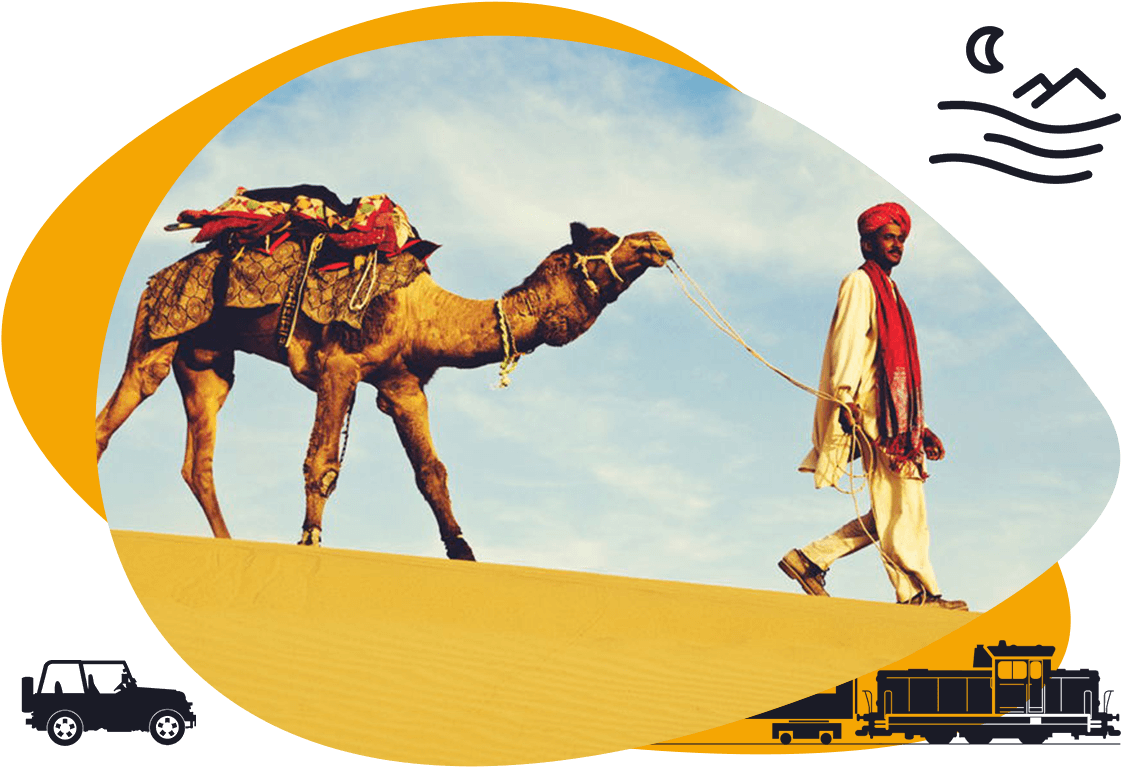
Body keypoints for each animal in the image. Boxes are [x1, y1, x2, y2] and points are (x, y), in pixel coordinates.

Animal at [95, 222, 673, 560]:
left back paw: (228, 544)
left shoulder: (402, 386)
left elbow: (432, 473)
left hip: (208, 363)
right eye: (602, 240)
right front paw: (309, 542)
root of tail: (155, 277)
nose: (657, 241)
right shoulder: (339, 366)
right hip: (157, 333)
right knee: (115, 415)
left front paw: (464, 553)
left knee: (198, 460)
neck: (422, 313)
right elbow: (322, 464)